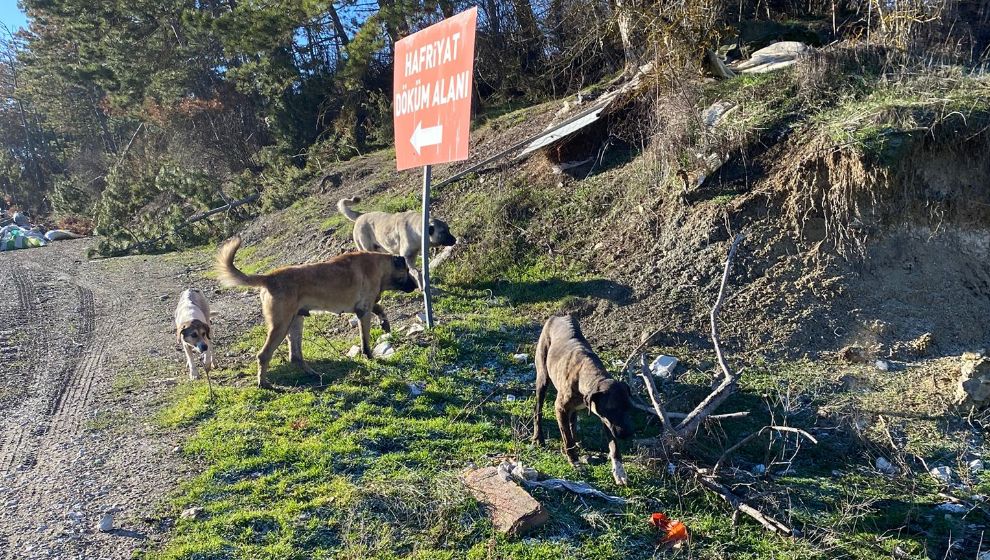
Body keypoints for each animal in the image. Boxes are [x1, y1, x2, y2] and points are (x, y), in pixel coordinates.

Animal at [217, 237, 418, 390]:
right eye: (407, 270)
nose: (416, 286)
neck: (380, 265)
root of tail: (269, 278)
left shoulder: (364, 307)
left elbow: (380, 309)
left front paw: (385, 324)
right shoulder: (363, 311)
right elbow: (365, 341)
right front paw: (369, 356)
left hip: (295, 322)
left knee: (295, 356)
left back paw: (314, 374)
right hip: (280, 326)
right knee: (263, 355)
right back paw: (265, 384)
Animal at [536, 316, 636, 486]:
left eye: (628, 408)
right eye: (612, 409)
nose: (627, 434)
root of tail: (558, 317)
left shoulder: (604, 419)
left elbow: (614, 446)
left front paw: (619, 472)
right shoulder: (560, 408)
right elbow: (567, 440)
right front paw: (575, 462)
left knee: (572, 421)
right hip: (542, 377)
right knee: (538, 410)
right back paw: (538, 438)